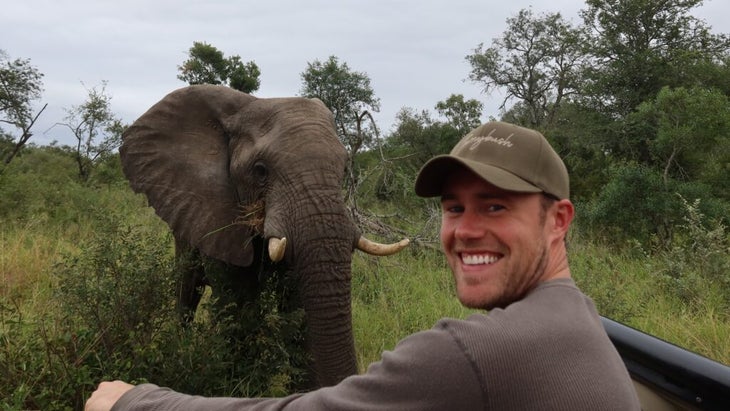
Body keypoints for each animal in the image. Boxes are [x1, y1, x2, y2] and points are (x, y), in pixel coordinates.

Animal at [116, 84, 406, 390]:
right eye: (260, 171)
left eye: (344, 169)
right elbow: (239, 297)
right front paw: (241, 386)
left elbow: (297, 300)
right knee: (187, 288)